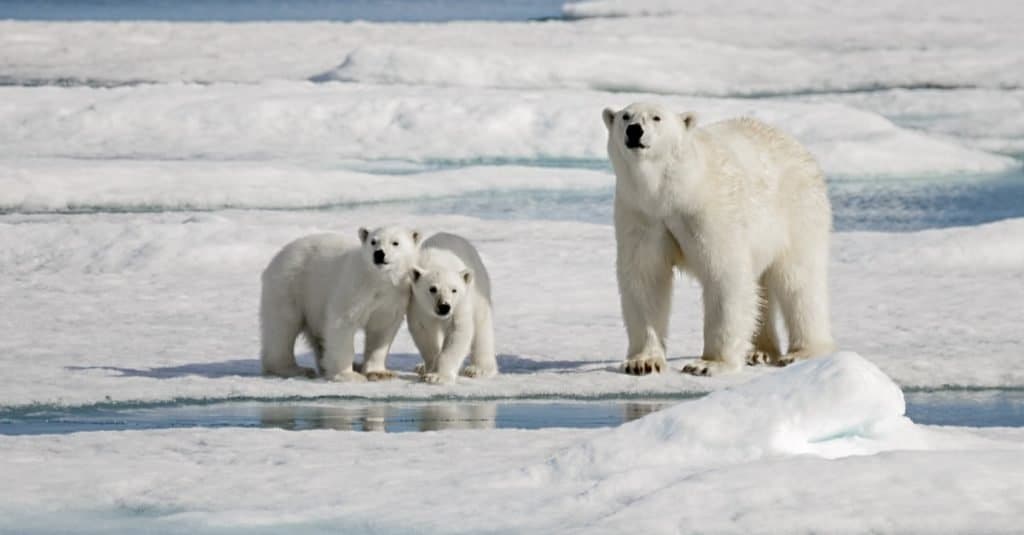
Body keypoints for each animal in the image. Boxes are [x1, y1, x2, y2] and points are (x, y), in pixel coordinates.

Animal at [260, 226, 419, 381]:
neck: (379, 281)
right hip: (290, 284)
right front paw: (348, 375)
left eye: (395, 243)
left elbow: (381, 330)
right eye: (373, 241)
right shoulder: (355, 288)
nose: (379, 254)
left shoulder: (393, 297)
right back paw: (294, 369)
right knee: (282, 326)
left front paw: (379, 373)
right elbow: (342, 324)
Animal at [411, 230, 499, 381]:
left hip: (478, 289)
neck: (436, 262)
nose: (444, 307)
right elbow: (424, 332)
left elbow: (457, 331)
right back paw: (420, 367)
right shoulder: (417, 304)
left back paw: (478, 369)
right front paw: (429, 368)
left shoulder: (460, 304)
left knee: (482, 327)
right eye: (432, 288)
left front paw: (437, 376)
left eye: (454, 290)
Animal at [602, 99, 835, 375]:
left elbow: (724, 274)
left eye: (657, 117)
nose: (635, 130)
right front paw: (642, 362)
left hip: (797, 210)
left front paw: (708, 364)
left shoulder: (708, 210)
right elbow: (645, 277)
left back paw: (802, 352)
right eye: (625, 117)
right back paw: (759, 351)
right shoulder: (641, 215)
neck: (673, 191)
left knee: (798, 280)